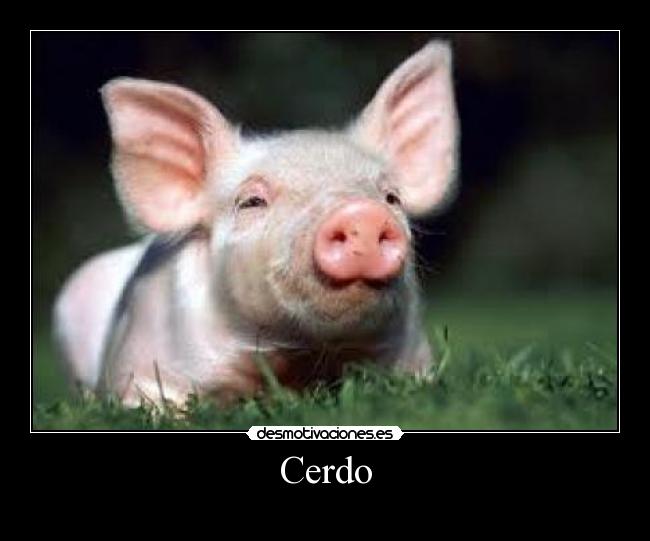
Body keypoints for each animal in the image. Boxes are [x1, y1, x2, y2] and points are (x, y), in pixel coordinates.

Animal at [52, 41, 459, 407]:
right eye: (251, 202)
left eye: (392, 197)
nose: (361, 212)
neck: (300, 359)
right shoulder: (142, 359)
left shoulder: (413, 354)